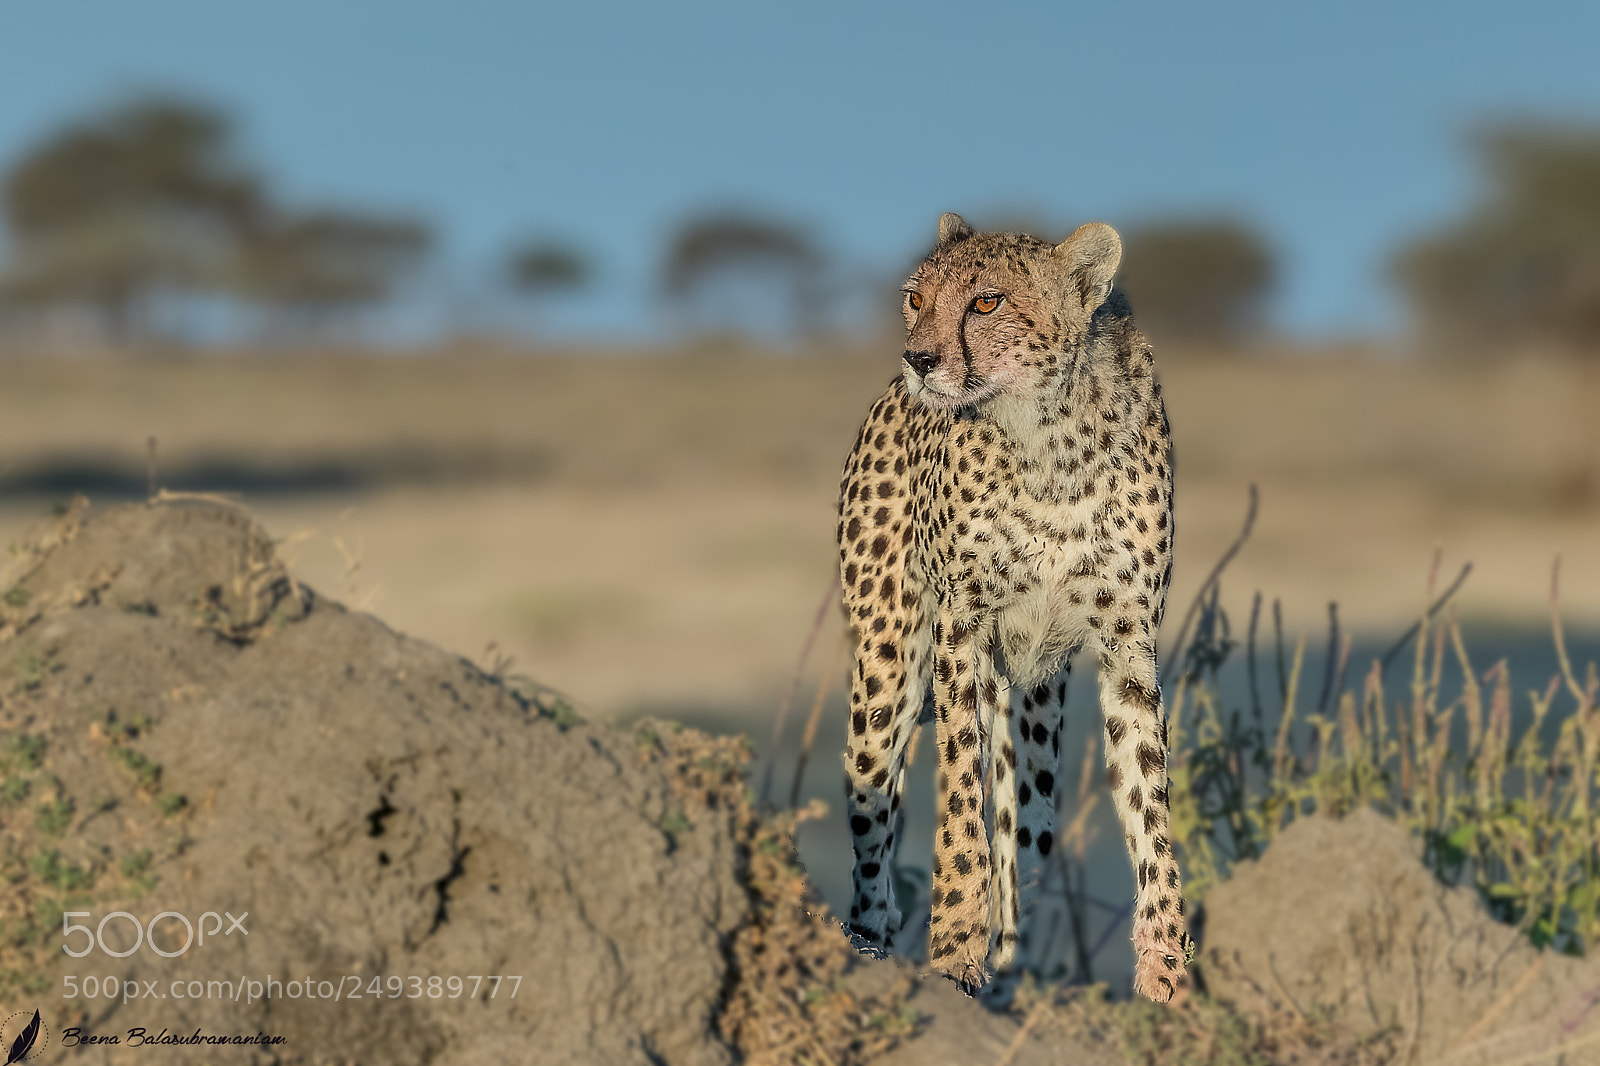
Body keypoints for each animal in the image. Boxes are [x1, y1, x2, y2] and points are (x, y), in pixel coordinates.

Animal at [835, 212, 1188, 1003]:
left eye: (987, 302)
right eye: (915, 297)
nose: (919, 358)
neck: (1046, 435)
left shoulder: (1127, 641)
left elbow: (1148, 800)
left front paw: (1167, 967)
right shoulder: (961, 630)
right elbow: (960, 801)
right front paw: (953, 945)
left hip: (1036, 699)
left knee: (1025, 821)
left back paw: (1013, 956)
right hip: (890, 670)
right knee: (876, 813)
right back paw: (873, 937)